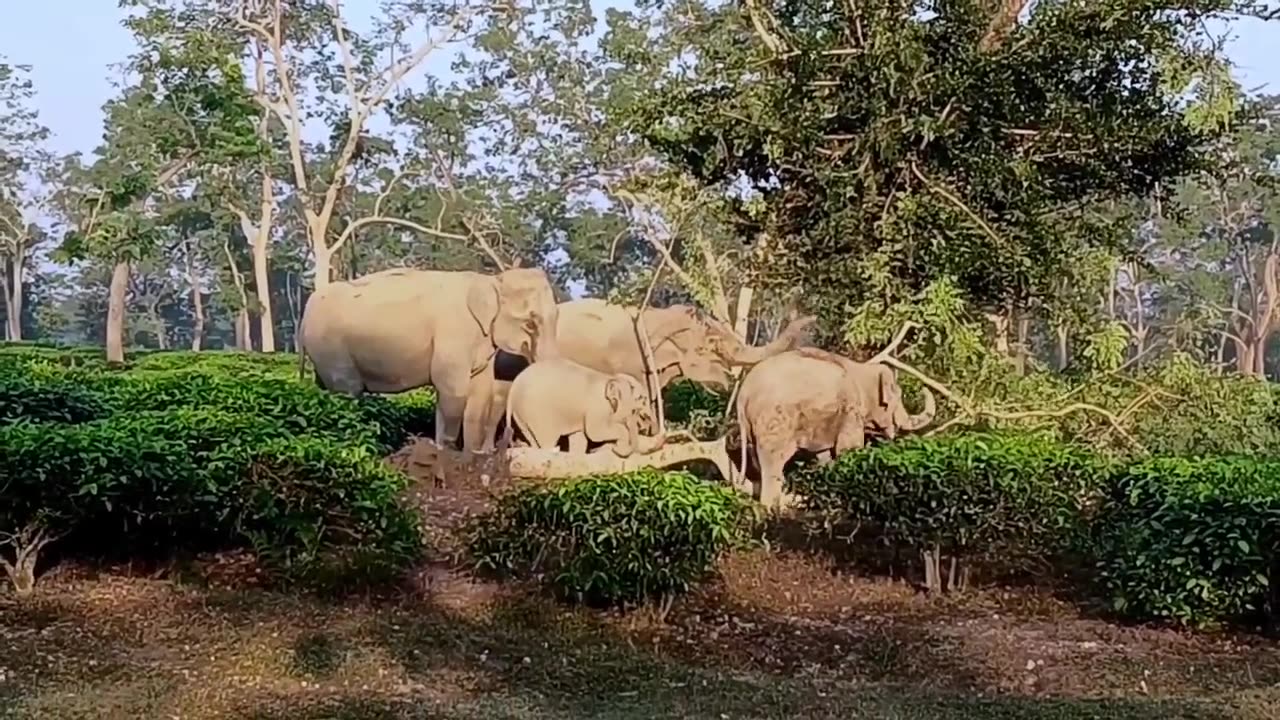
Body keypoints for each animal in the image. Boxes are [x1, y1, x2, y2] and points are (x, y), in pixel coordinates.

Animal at [302, 263, 563, 453]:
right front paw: (447, 450)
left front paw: (472, 454)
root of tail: (306, 310)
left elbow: (480, 393)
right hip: (331, 348)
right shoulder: (453, 333)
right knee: (347, 391)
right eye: (530, 323)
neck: (491, 281)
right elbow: (452, 389)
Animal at [501, 356, 665, 453]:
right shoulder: (596, 407)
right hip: (537, 412)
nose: (615, 448)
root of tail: (512, 390)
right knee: (548, 440)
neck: (610, 377)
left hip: (522, 415)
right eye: (641, 399)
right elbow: (595, 432)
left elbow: (580, 438)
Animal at [737, 345, 936, 504]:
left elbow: (824, 456)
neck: (861, 370)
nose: (922, 387)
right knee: (773, 465)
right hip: (775, 422)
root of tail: (743, 395)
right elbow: (848, 449)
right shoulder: (850, 410)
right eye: (898, 396)